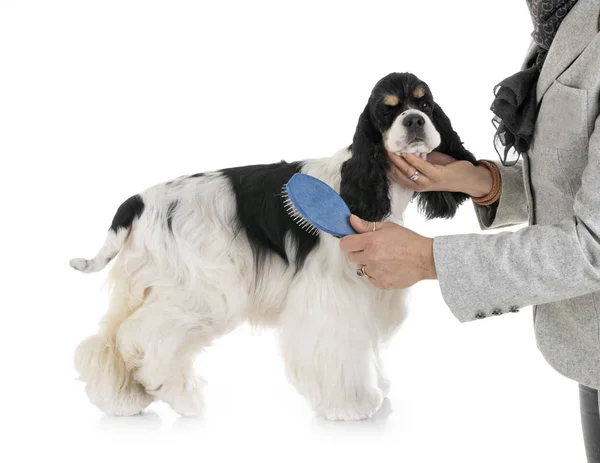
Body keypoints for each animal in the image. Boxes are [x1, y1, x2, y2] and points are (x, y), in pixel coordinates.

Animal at [70, 71, 474, 420]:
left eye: (426, 103)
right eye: (386, 109)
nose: (414, 121)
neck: (367, 182)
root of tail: (139, 201)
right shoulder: (332, 293)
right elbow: (336, 348)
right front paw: (351, 405)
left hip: (146, 283)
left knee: (106, 339)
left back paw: (122, 400)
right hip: (202, 290)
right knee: (142, 336)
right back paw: (182, 397)